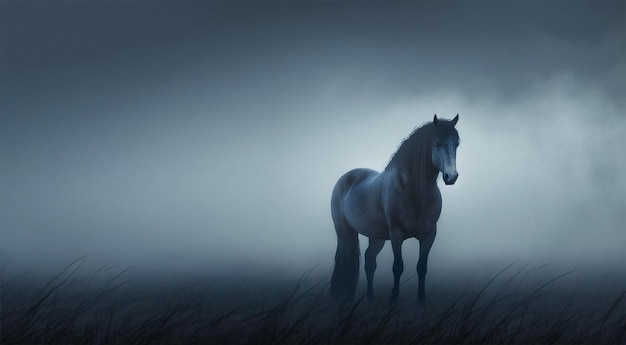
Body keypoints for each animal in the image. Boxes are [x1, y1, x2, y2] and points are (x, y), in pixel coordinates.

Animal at [326, 113, 458, 300]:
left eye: (456, 143)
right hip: (344, 232)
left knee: (370, 261)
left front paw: (421, 300)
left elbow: (421, 268)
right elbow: (398, 267)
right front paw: (393, 299)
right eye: (437, 144)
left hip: (376, 236)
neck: (414, 191)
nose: (451, 176)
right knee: (346, 260)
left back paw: (370, 298)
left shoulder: (429, 234)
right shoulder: (396, 234)